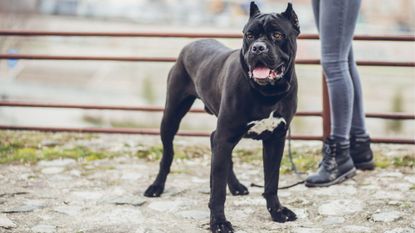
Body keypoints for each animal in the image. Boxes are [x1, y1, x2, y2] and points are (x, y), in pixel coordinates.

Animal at [145, 2, 300, 233]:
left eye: (278, 34)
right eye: (250, 35)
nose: (258, 48)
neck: (267, 92)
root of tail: (191, 44)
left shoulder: (275, 139)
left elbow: (271, 181)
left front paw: (277, 211)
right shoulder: (226, 135)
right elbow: (217, 191)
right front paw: (218, 222)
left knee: (214, 142)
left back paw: (235, 186)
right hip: (172, 116)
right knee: (168, 154)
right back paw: (156, 186)